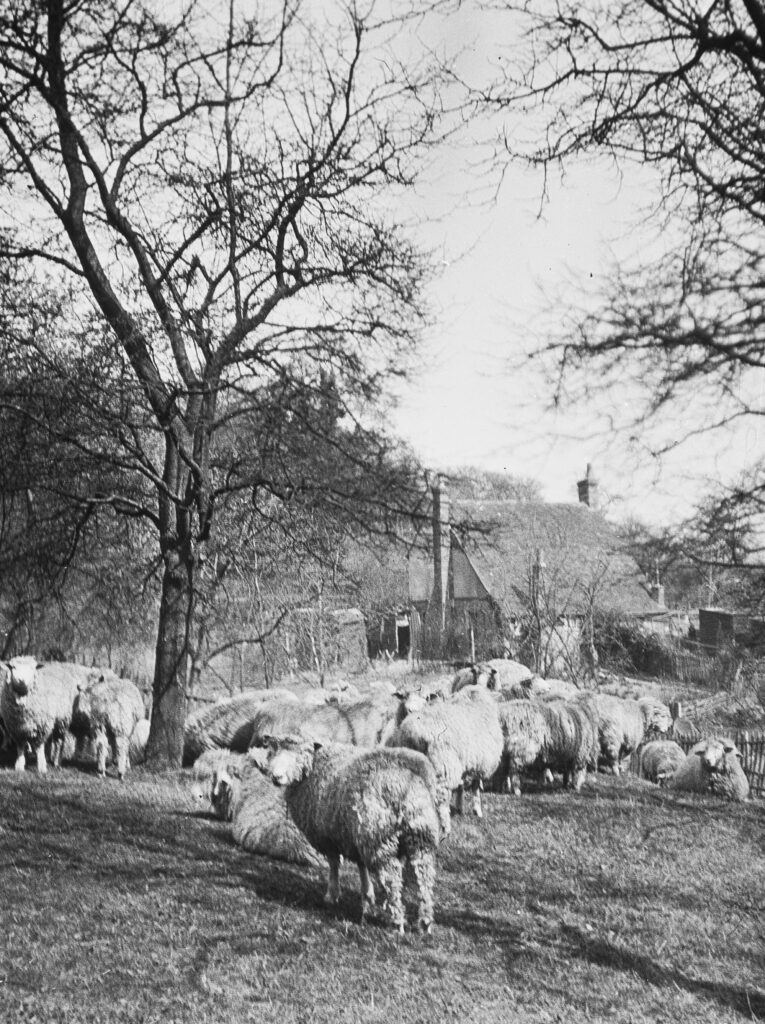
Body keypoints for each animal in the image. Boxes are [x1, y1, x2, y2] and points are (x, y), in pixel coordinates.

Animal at [252, 737, 442, 937]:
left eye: (300, 754)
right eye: (274, 751)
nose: (276, 777)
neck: (313, 766)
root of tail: (405, 787)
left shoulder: (329, 836)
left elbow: (334, 864)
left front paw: (332, 895)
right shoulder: (352, 835)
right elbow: (361, 865)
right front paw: (369, 895)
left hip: (379, 837)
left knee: (392, 877)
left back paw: (397, 921)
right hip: (420, 836)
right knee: (424, 878)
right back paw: (425, 921)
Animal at [389, 684, 501, 835]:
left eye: (426, 697)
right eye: (404, 696)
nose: (411, 709)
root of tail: (413, 732)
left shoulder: (464, 760)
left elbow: (462, 784)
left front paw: (460, 807)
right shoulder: (479, 761)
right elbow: (475, 785)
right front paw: (477, 810)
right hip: (442, 766)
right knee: (441, 798)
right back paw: (445, 828)